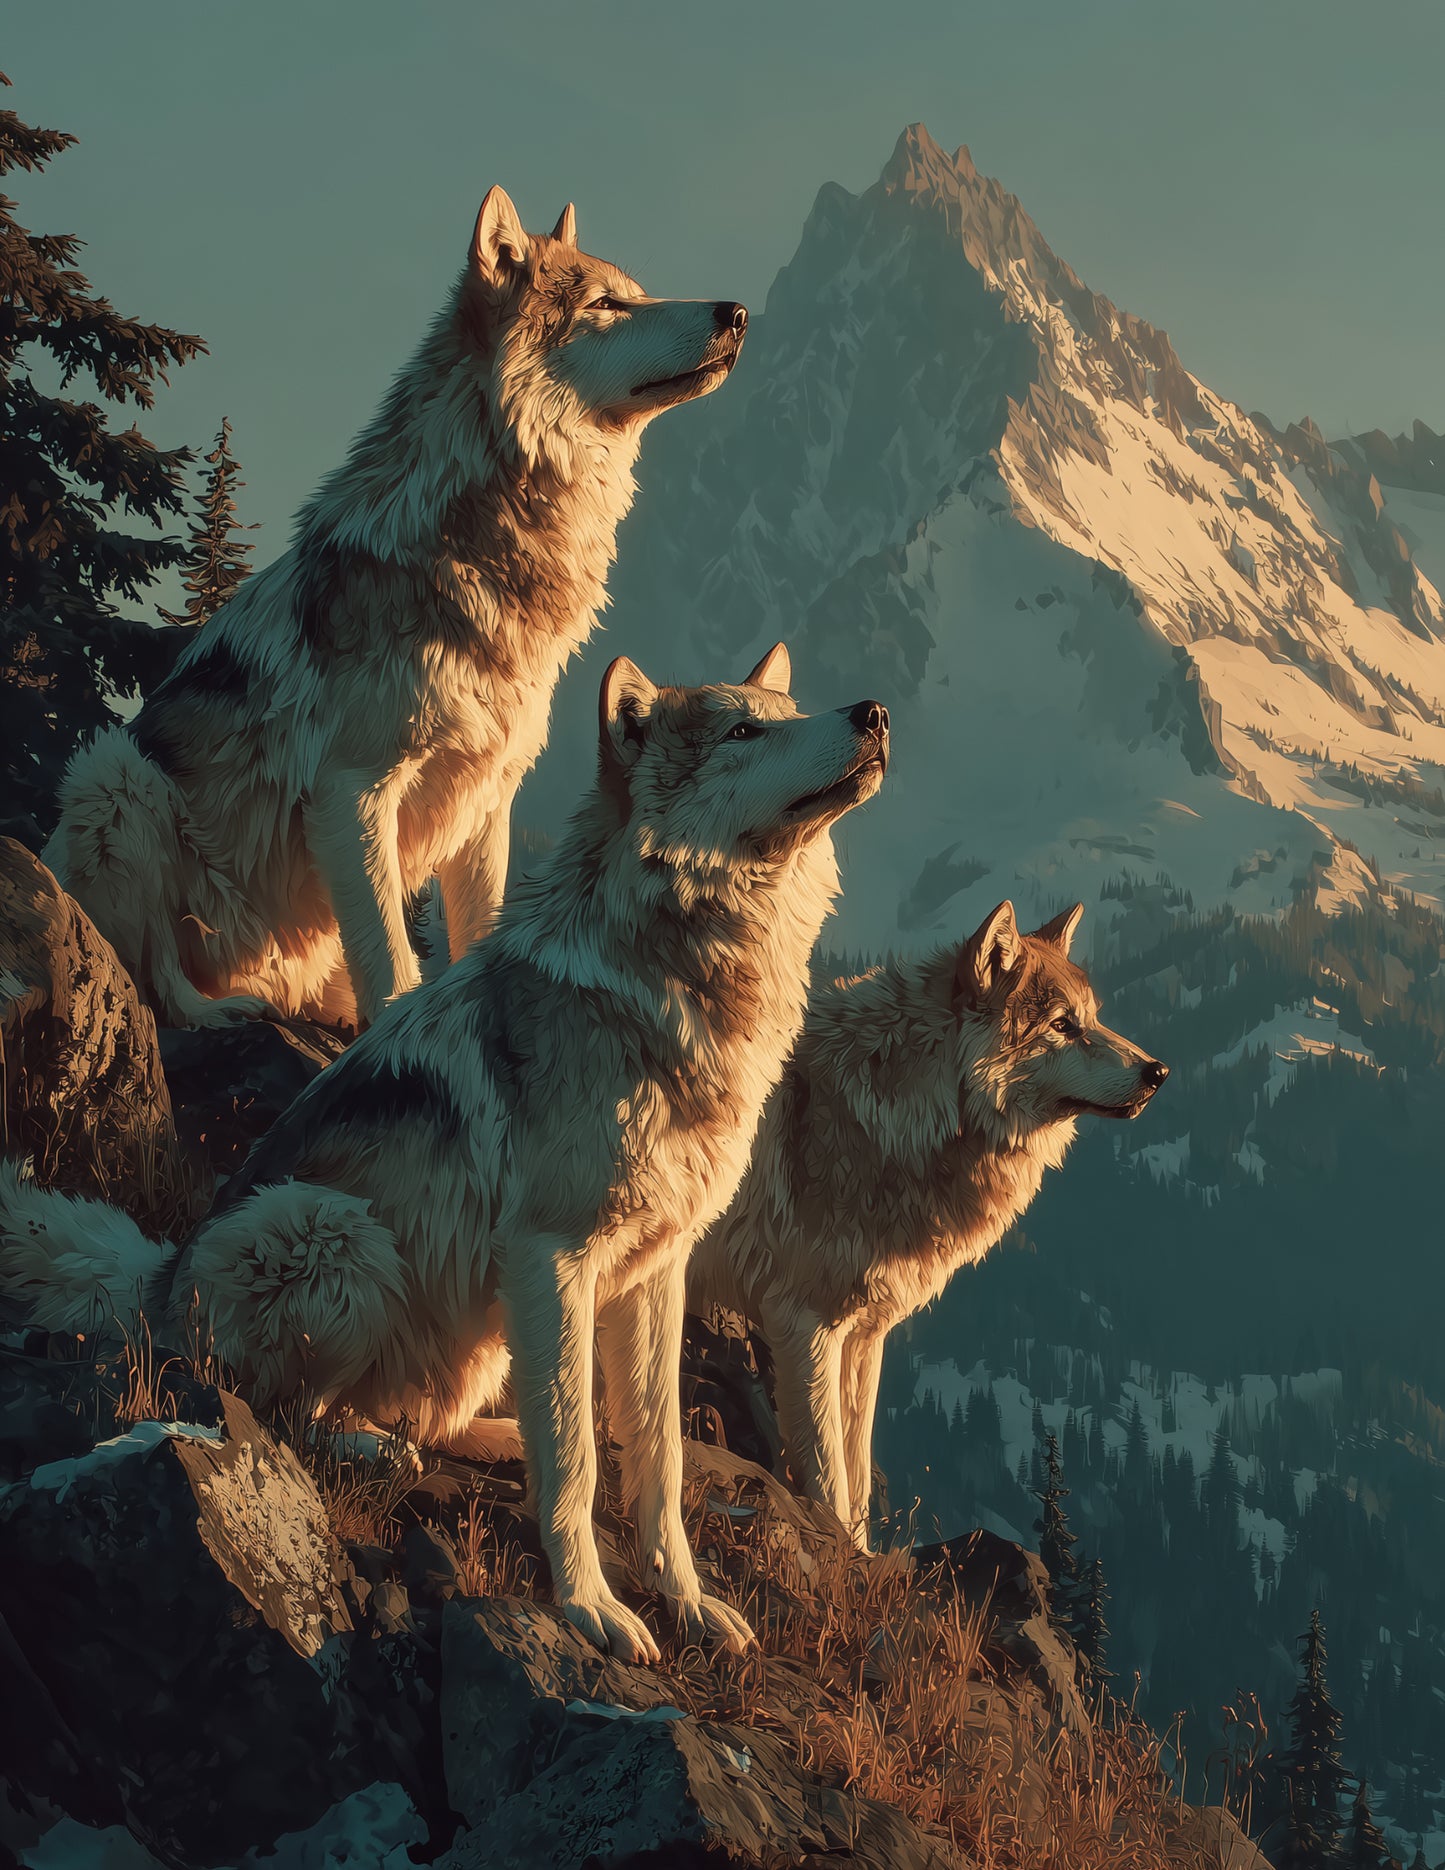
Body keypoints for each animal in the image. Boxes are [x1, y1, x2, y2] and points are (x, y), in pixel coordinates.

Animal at [2, 650, 890, 1661]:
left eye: (789, 711)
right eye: (744, 731)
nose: (873, 714)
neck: (676, 984)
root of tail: (158, 1278)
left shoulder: (654, 1271)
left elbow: (655, 1461)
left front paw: (688, 1601)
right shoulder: (553, 1257)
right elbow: (577, 1462)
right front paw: (590, 1607)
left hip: (470, 1320)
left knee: (445, 1410)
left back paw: (497, 1439)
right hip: (329, 1230)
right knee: (288, 1413)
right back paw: (384, 1447)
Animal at [44, 189, 748, 1029]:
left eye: (636, 295)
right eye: (607, 305)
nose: (738, 312)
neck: (478, 552)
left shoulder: (487, 802)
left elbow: (469, 934)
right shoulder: (352, 795)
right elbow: (387, 953)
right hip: (113, 777)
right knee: (157, 981)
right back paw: (231, 1008)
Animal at [687, 900, 1168, 1549]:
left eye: (1093, 1018)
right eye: (1063, 1026)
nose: (1158, 1072)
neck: (901, 1113)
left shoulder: (862, 1337)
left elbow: (857, 1478)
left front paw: (859, 1554)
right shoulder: (803, 1327)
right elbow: (830, 1478)